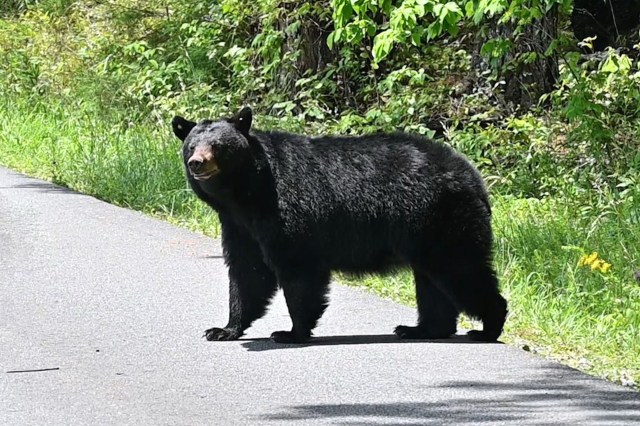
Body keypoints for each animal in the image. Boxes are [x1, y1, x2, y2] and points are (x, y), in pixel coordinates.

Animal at [171, 107, 508, 344]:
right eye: (191, 145)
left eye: (218, 145)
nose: (197, 162)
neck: (246, 193)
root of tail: (471, 175)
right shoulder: (239, 226)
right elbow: (247, 272)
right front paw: (223, 329)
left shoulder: (285, 211)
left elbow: (297, 269)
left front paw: (291, 332)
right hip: (426, 230)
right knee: (433, 282)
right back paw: (420, 329)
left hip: (442, 220)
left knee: (461, 270)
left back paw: (487, 327)